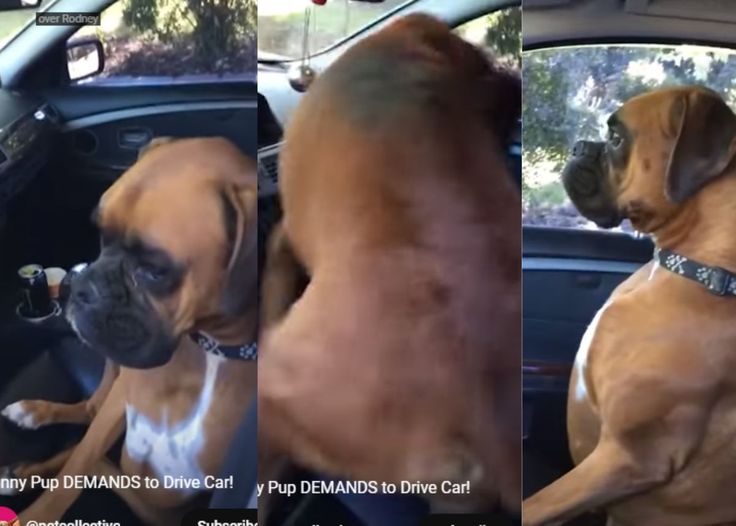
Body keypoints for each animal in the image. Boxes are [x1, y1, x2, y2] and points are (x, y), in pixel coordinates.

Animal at [0, 138, 258, 524]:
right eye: (101, 236)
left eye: (154, 270)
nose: (80, 287)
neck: (212, 351)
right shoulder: (120, 404)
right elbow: (78, 463)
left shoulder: (166, 506)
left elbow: (91, 467)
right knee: (89, 412)